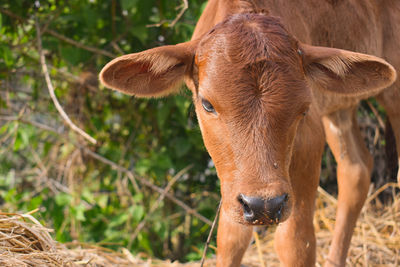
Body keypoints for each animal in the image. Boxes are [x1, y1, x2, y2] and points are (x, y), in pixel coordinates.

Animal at [98, 1, 398, 266]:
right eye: (207, 104)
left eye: (303, 107)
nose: (264, 205)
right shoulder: (233, 183)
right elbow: (231, 239)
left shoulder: (308, 143)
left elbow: (295, 244)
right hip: (340, 108)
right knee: (356, 168)